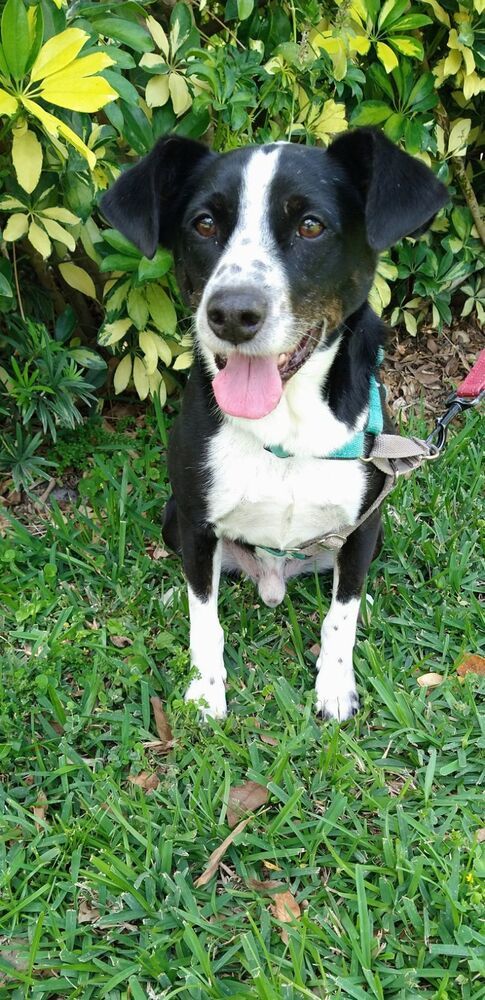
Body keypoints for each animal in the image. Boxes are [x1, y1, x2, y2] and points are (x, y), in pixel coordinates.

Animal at [102, 129, 446, 724]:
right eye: (204, 223)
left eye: (310, 225)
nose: (232, 314)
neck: (285, 424)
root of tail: (272, 581)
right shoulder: (196, 521)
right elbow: (204, 618)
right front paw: (206, 690)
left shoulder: (364, 525)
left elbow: (341, 616)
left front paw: (335, 686)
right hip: (174, 516)